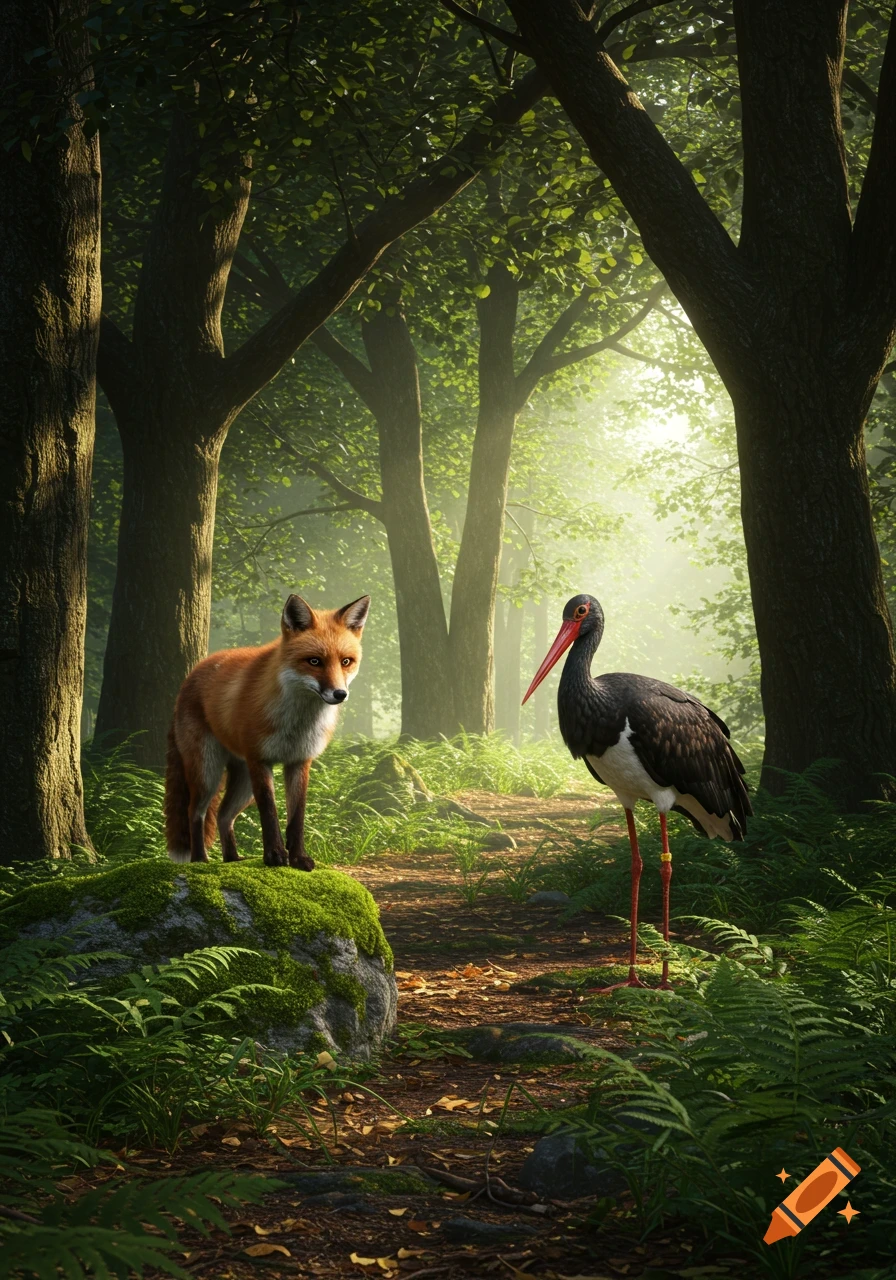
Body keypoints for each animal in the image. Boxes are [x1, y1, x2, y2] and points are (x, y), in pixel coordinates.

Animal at [165, 593, 370, 869]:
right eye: (314, 661)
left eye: (346, 661)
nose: (340, 694)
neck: (296, 723)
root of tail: (190, 676)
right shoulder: (260, 760)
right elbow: (269, 813)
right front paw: (274, 856)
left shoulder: (299, 761)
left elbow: (297, 818)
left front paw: (298, 858)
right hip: (208, 772)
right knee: (195, 813)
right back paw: (200, 860)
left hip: (242, 784)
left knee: (223, 816)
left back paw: (232, 859)